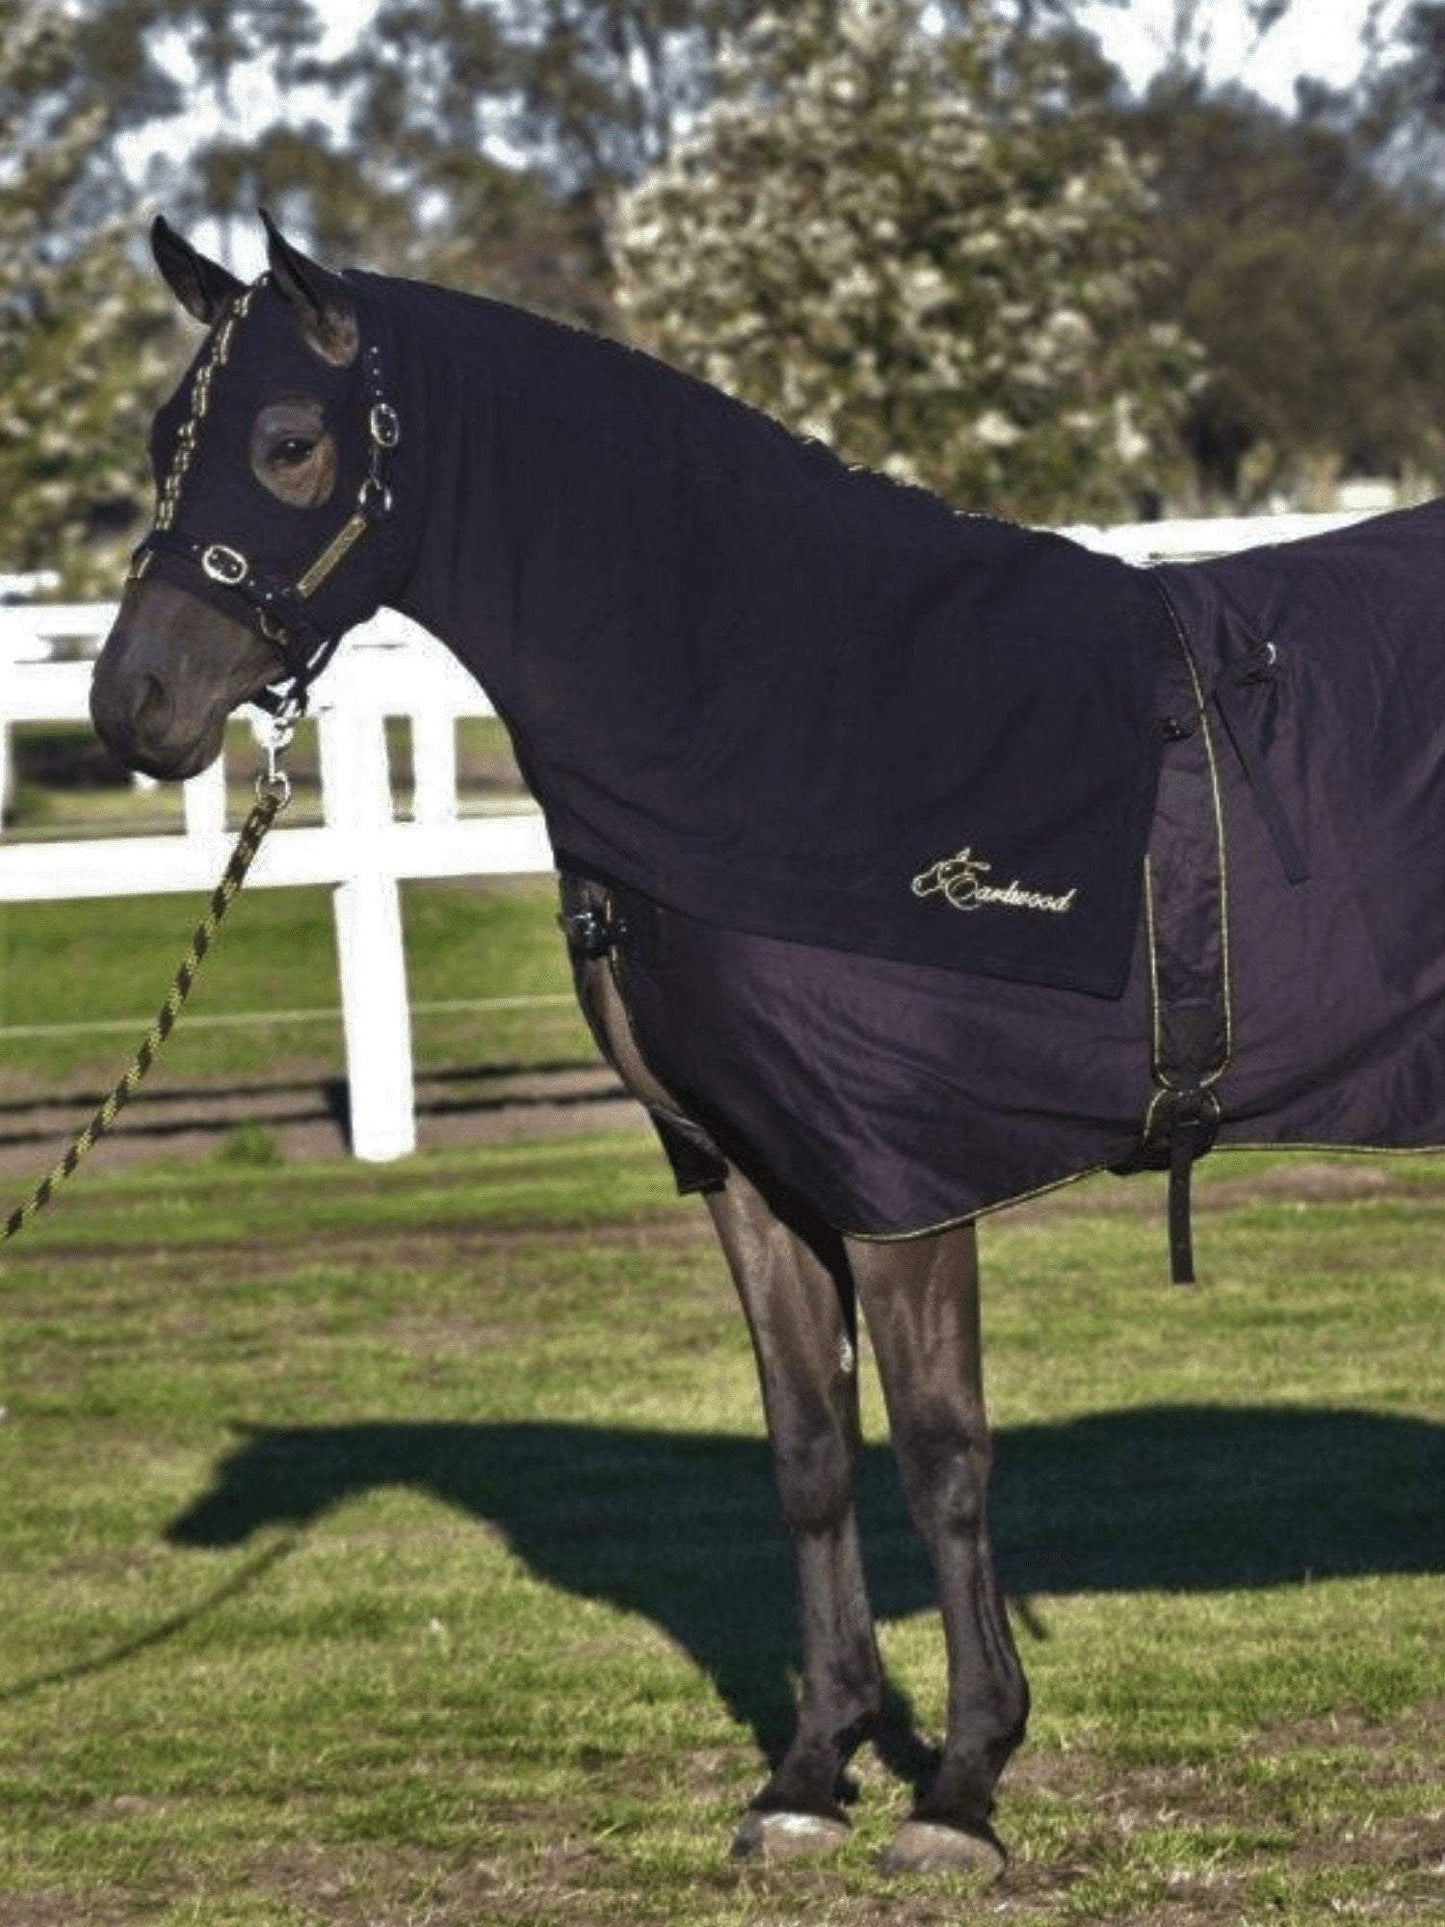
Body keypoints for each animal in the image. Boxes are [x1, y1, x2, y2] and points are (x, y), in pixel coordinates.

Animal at [93, 214, 1445, 1880]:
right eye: (162, 435)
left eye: (287, 441)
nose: (132, 705)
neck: (793, 714)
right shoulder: (746, 1171)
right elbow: (808, 1449)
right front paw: (811, 1766)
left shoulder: (896, 1180)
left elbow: (938, 1448)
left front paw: (962, 1782)